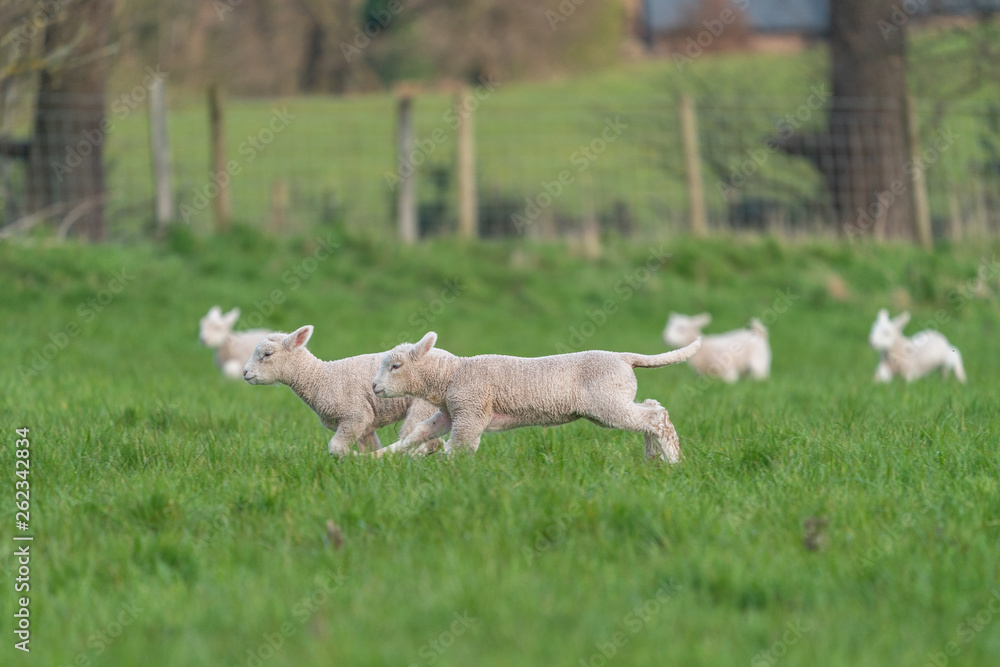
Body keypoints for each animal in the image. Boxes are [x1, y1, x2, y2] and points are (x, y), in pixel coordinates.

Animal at [243, 325, 442, 456]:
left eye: (267, 354)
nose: (244, 373)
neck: (319, 378)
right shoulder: (365, 423)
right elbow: (370, 446)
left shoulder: (355, 415)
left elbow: (336, 447)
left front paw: (353, 458)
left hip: (424, 405)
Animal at [371, 332, 702, 464]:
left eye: (395, 366)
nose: (373, 387)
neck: (452, 373)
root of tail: (624, 357)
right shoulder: (452, 412)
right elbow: (418, 434)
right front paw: (376, 457)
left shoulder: (471, 410)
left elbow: (459, 445)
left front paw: (441, 469)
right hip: (613, 401)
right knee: (651, 412)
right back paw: (653, 459)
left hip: (608, 403)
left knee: (655, 417)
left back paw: (673, 461)